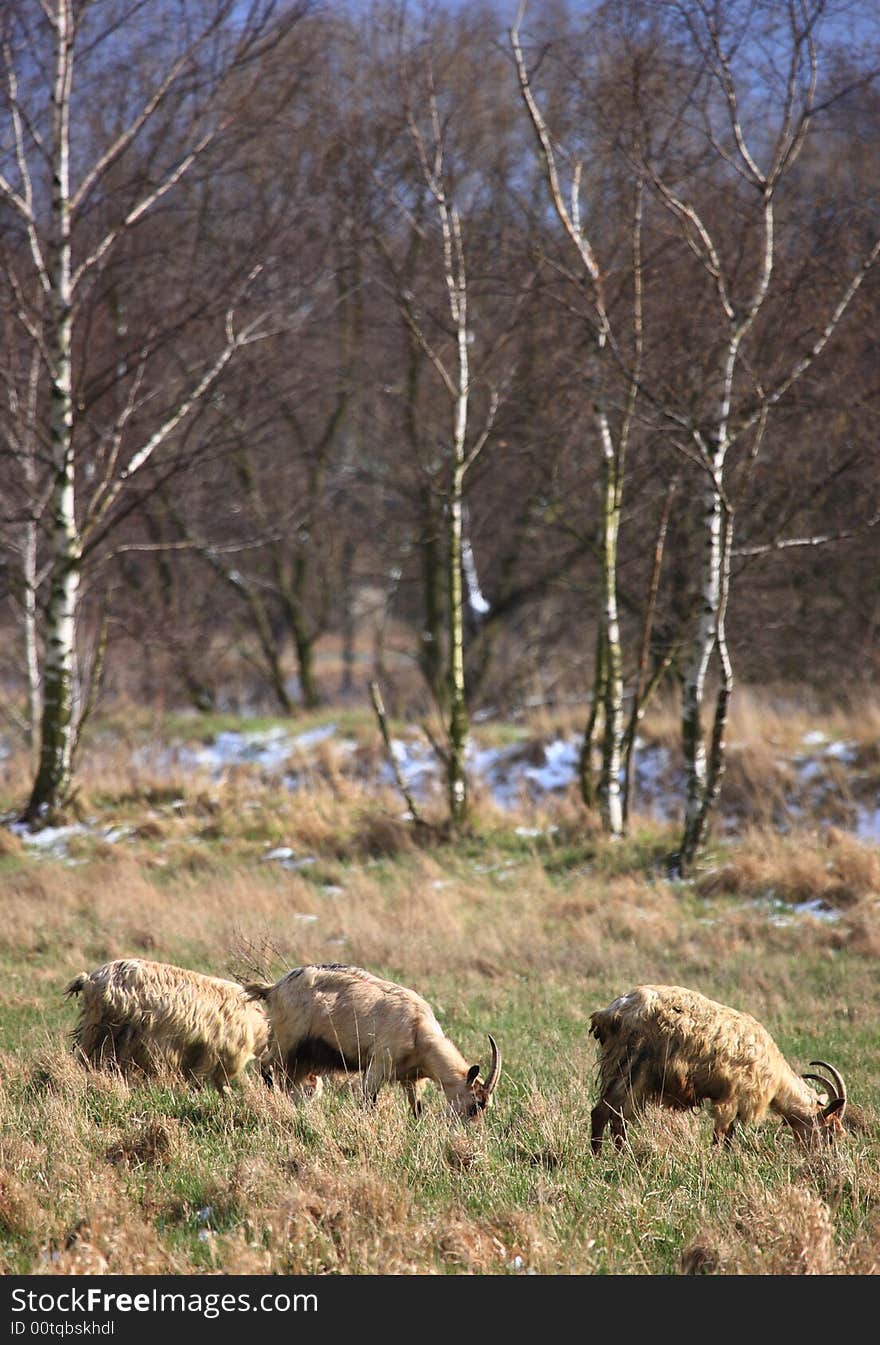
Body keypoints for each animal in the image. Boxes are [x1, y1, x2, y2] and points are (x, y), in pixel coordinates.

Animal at [243, 963, 503, 1119]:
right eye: (474, 1104)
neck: (418, 1030)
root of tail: (274, 988)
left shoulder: (411, 1079)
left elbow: (416, 1109)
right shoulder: (377, 1066)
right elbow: (368, 1102)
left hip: (300, 1060)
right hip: (287, 1041)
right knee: (265, 1065)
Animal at [589, 984, 850, 1151]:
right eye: (830, 1132)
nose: (823, 1161)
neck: (774, 1075)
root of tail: (610, 1012)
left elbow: (729, 1137)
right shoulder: (730, 1098)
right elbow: (720, 1135)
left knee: (612, 1114)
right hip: (631, 1067)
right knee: (608, 1113)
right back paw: (608, 1157)